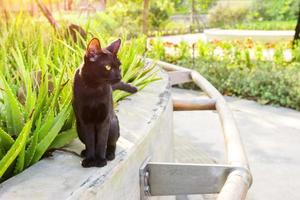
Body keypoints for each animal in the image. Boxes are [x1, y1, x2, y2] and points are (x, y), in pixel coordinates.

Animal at [72, 37, 137, 167]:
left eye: (119, 66)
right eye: (107, 67)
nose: (119, 76)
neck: (94, 88)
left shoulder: (104, 118)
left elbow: (102, 142)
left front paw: (101, 160)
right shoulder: (85, 120)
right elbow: (90, 141)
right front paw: (90, 159)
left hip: (113, 125)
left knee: (112, 143)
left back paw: (109, 155)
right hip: (79, 128)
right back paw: (84, 152)